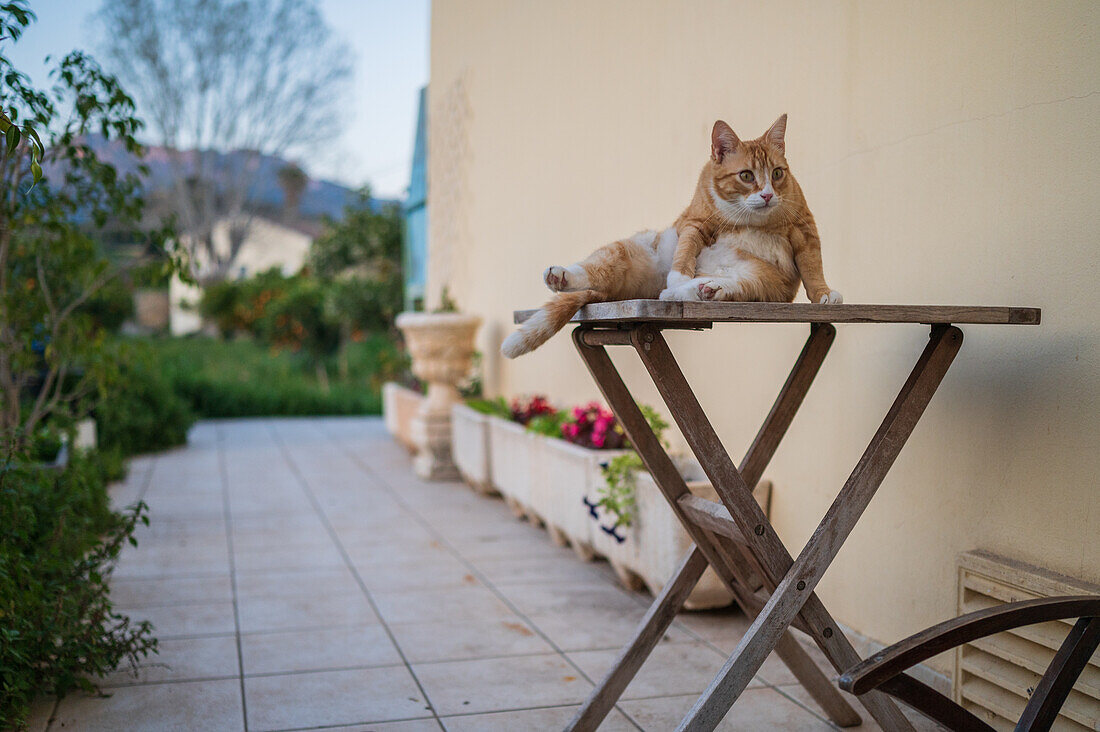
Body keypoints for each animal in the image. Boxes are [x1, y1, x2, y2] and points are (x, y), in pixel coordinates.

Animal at [501, 114, 840, 358]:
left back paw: (703, 290)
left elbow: (813, 266)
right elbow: (686, 250)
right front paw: (679, 274)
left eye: (777, 174)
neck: (750, 219)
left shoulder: (804, 228)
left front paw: (823, 294)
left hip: (760, 279)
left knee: (729, 287)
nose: (768, 195)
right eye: (746, 176)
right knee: (594, 270)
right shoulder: (694, 223)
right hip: (623, 253)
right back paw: (562, 276)